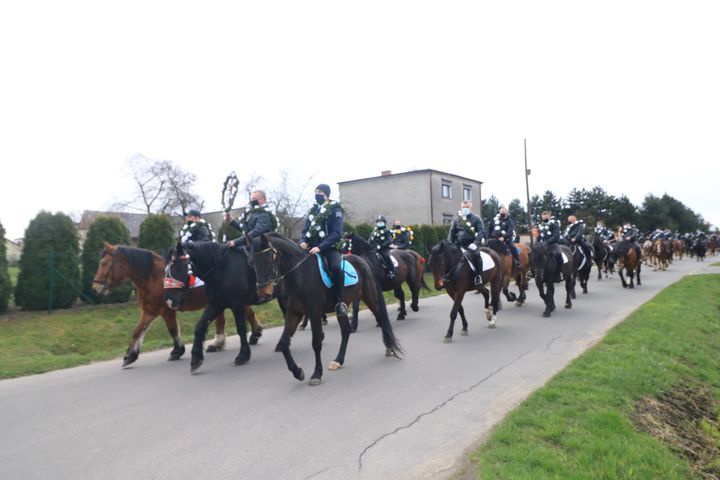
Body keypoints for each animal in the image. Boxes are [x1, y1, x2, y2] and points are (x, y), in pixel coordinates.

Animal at [91, 244, 262, 368]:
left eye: (104, 263)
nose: (95, 287)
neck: (154, 278)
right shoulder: (149, 311)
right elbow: (137, 331)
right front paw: (129, 356)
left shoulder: (166, 310)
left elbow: (172, 329)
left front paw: (177, 350)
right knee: (232, 317)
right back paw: (223, 342)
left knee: (246, 313)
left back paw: (253, 334)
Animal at [165, 242, 274, 374]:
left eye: (179, 268)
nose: (170, 301)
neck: (222, 270)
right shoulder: (216, 305)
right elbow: (199, 327)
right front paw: (196, 359)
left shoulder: (237, 305)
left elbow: (241, 329)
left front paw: (242, 356)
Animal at [248, 232, 402, 386]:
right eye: (252, 263)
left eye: (269, 260)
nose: (263, 294)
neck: (299, 274)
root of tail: (363, 261)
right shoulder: (294, 312)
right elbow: (283, 343)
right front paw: (298, 372)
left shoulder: (314, 312)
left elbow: (316, 343)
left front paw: (316, 374)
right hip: (343, 307)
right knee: (346, 331)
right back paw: (338, 360)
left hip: (370, 298)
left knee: (381, 320)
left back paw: (389, 348)